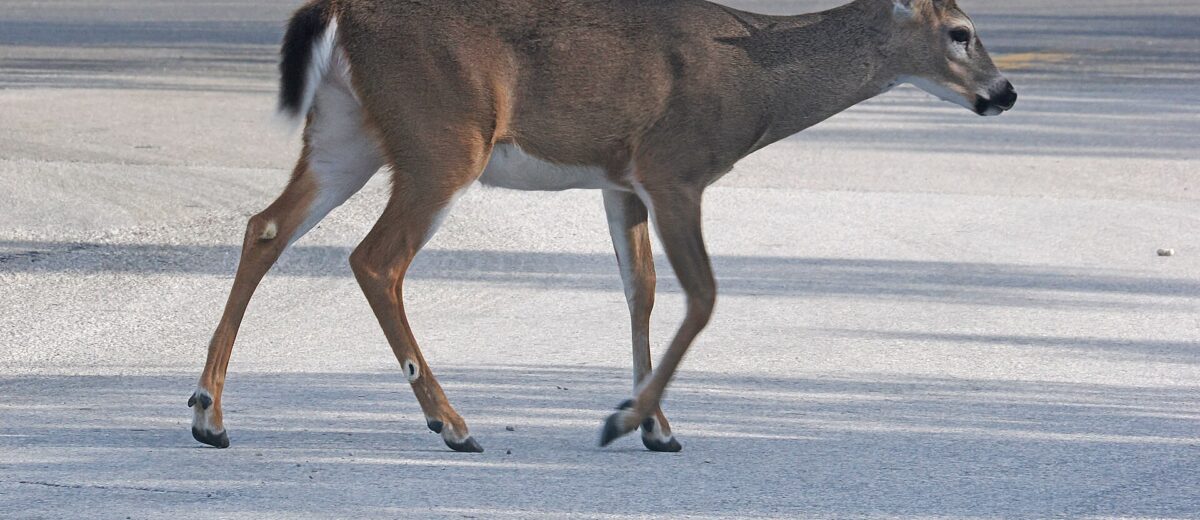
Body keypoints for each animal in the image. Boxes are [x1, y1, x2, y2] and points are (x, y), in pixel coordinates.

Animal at [189, 0, 1016, 453]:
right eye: (961, 31)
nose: (1006, 92)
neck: (755, 84)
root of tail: (341, 13)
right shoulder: (676, 166)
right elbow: (702, 296)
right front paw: (628, 420)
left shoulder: (623, 180)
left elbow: (640, 290)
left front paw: (656, 426)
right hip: (444, 137)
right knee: (375, 259)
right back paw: (453, 424)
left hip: (347, 130)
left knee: (265, 228)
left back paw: (209, 414)